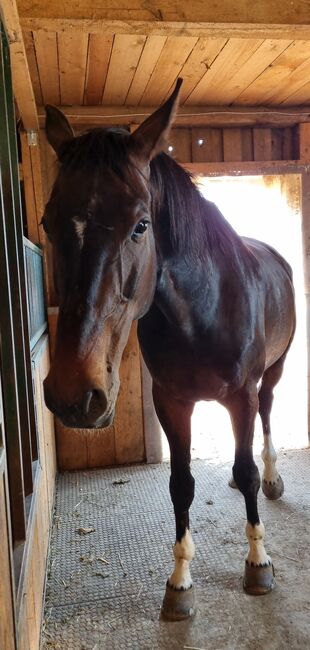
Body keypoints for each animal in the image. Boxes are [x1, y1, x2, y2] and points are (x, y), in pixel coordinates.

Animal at [41, 77, 296, 616]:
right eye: (49, 222)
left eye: (141, 225)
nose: (75, 395)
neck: (203, 310)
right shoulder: (171, 402)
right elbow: (181, 485)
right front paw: (180, 583)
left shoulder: (239, 396)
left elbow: (244, 469)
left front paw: (258, 563)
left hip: (273, 374)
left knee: (265, 419)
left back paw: (272, 478)